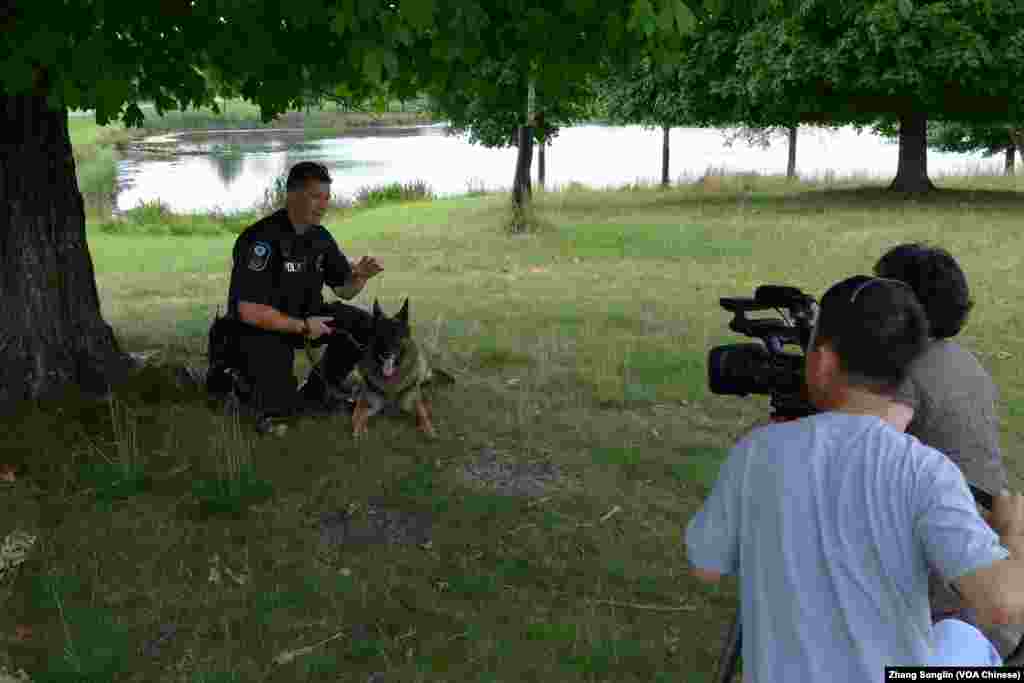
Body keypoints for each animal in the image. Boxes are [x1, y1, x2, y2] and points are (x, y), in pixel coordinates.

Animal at [352, 301, 436, 440]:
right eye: (380, 336)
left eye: (397, 336)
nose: (387, 355)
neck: (391, 383)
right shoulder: (368, 398)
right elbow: (359, 411)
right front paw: (358, 426)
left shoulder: (414, 399)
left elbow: (422, 412)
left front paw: (428, 428)